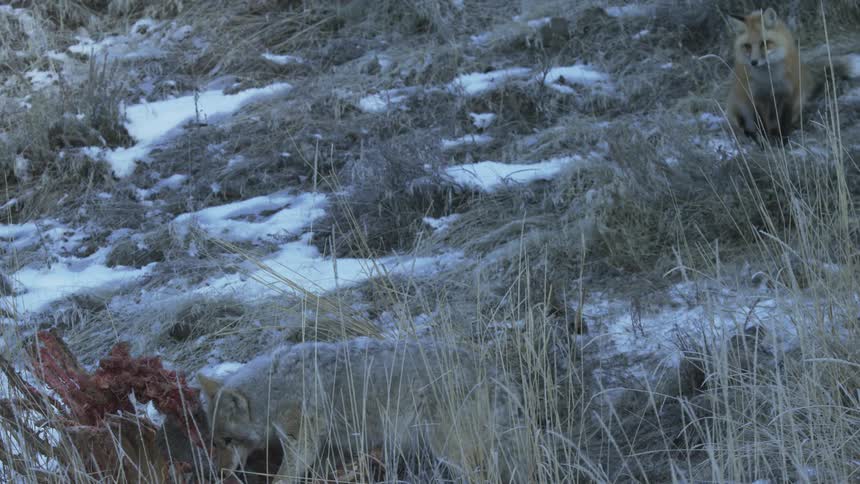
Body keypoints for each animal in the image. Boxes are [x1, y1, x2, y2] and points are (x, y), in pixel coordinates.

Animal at [197, 337, 529, 484]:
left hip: (450, 452)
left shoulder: (302, 442)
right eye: (214, 442)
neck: (275, 389)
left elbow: (282, 479)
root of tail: (495, 373)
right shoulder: (328, 448)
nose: (218, 473)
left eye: (228, 441)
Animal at [726, 8, 859, 141]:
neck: (769, 80)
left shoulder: (789, 95)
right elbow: (761, 124)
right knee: (745, 125)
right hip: (738, 107)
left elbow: (785, 121)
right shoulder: (755, 98)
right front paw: (765, 142)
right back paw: (750, 134)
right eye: (747, 46)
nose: (753, 62)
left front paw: (783, 139)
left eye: (764, 43)